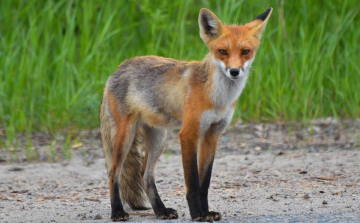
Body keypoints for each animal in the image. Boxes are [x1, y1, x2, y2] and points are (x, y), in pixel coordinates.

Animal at [100, 6, 272, 221]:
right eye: (222, 52)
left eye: (245, 52)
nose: (234, 71)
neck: (218, 99)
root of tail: (117, 69)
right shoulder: (189, 133)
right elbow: (193, 182)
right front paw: (197, 213)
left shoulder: (212, 135)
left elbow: (204, 182)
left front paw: (206, 212)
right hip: (126, 135)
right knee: (113, 172)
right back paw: (117, 211)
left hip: (158, 138)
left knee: (145, 175)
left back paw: (161, 210)